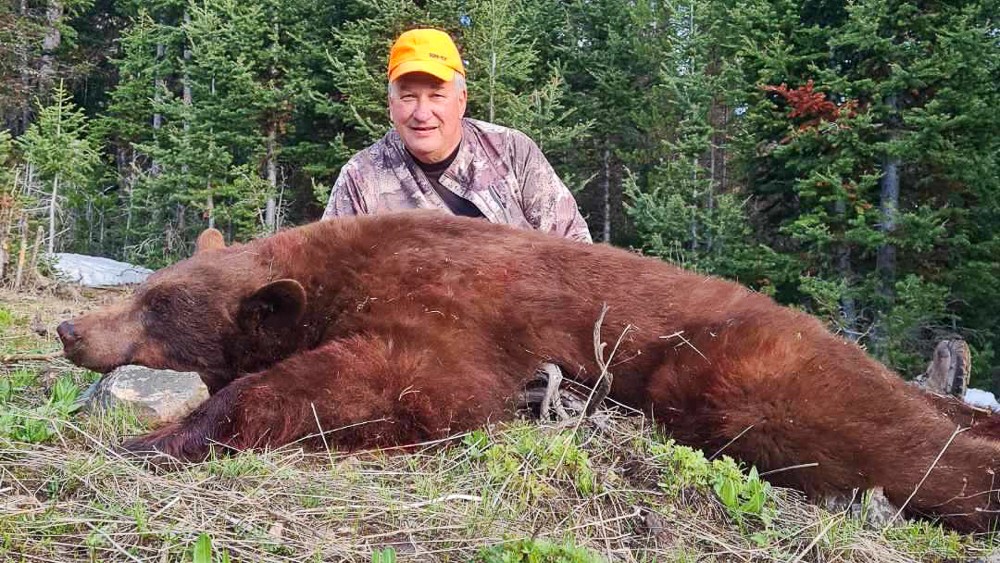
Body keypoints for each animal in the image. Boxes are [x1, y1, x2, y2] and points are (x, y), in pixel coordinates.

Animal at [58, 210, 996, 532]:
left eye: (157, 307)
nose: (70, 327)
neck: (331, 273)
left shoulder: (451, 307)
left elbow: (411, 381)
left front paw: (162, 435)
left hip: (739, 367)